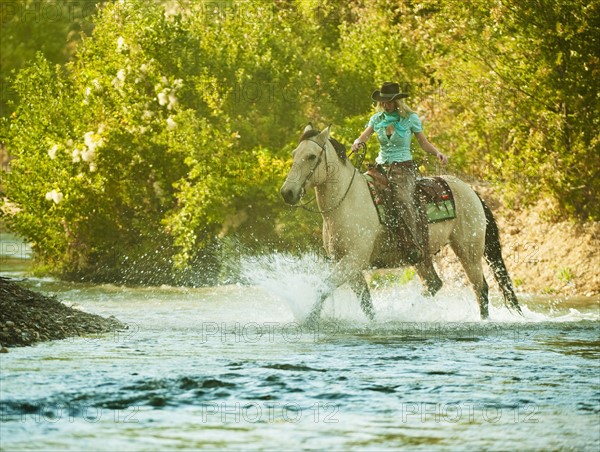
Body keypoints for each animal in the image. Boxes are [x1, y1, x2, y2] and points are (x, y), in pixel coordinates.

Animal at [280, 123, 520, 324]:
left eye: (311, 156)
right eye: (294, 154)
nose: (287, 192)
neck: (347, 202)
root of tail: (471, 191)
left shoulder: (353, 261)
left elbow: (323, 287)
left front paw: (308, 319)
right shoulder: (346, 264)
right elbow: (365, 302)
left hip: (468, 250)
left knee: (480, 288)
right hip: (422, 255)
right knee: (434, 284)